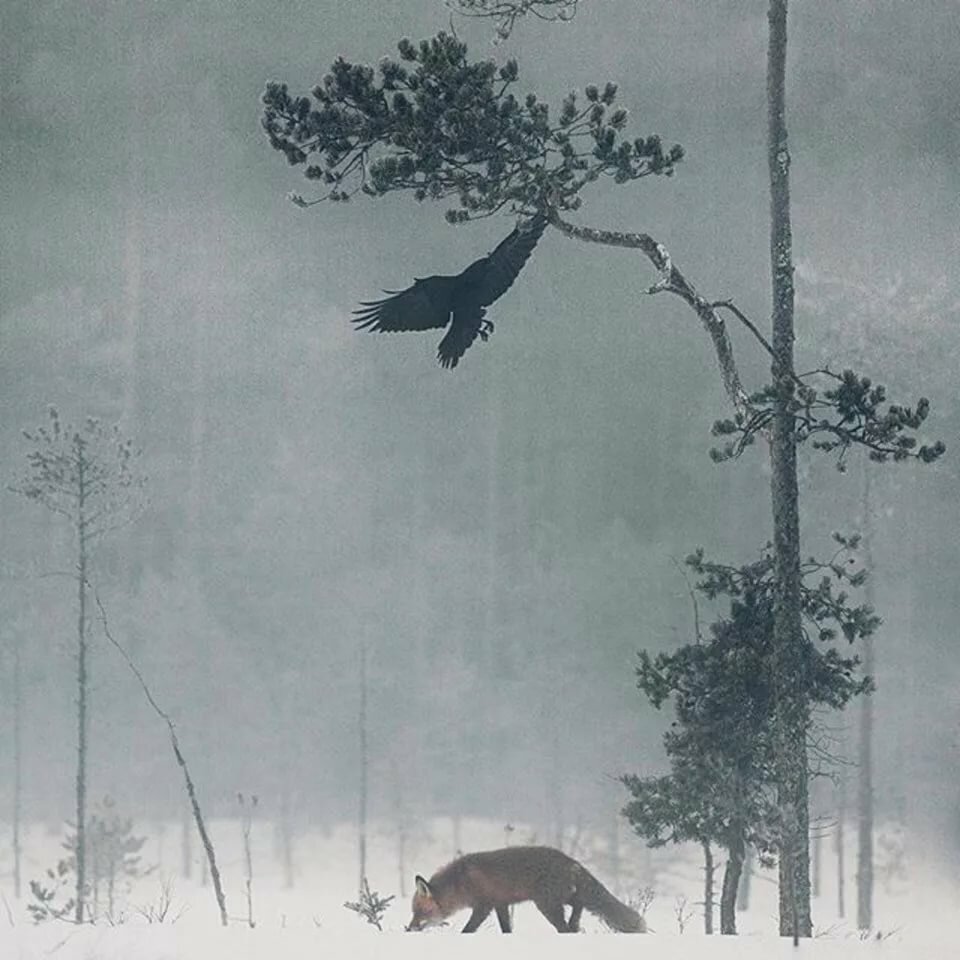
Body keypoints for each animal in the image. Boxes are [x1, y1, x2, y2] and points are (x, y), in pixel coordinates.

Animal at [406, 845, 646, 933]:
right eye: (413, 912)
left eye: (422, 912)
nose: (409, 929)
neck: (460, 883)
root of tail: (572, 862)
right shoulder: (501, 904)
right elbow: (506, 928)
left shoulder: (484, 906)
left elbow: (468, 929)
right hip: (559, 898)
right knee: (579, 905)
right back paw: (575, 923)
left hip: (546, 904)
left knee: (565, 926)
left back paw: (570, 929)